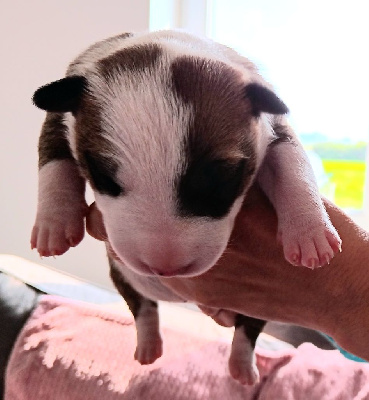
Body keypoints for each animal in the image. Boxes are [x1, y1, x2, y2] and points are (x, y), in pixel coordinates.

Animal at [30, 29, 340, 386]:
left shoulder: (275, 129)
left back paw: (241, 366)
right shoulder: (58, 118)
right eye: (103, 177)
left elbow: (294, 168)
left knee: (247, 330)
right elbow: (52, 162)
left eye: (223, 178)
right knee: (142, 307)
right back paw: (148, 346)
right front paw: (53, 227)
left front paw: (311, 235)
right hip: (123, 274)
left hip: (261, 303)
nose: (165, 267)